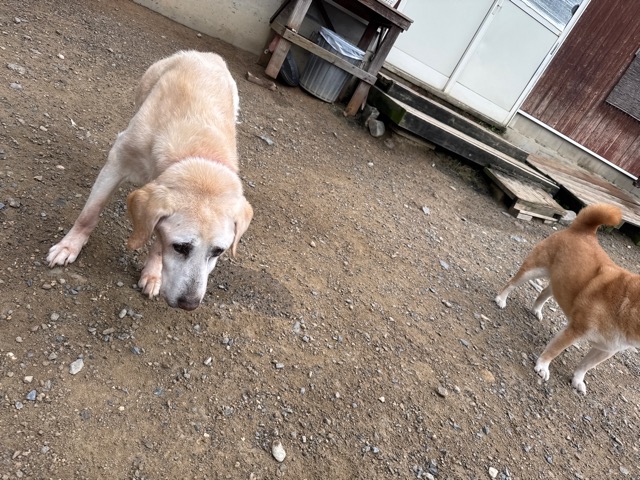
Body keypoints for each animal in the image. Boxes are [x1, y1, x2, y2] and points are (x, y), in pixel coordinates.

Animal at [47, 50, 253, 311]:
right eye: (181, 247)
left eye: (218, 251)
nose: (189, 304)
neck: (196, 154)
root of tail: (207, 54)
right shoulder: (117, 161)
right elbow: (90, 213)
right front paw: (69, 246)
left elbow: (158, 244)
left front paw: (153, 274)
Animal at [495, 203, 640, 394]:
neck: (625, 306)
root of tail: (583, 231)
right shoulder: (574, 331)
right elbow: (554, 351)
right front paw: (542, 367)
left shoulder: (606, 349)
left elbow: (586, 366)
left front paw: (578, 380)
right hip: (533, 270)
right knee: (511, 284)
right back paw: (501, 299)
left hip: (559, 282)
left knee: (543, 293)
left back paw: (536, 310)